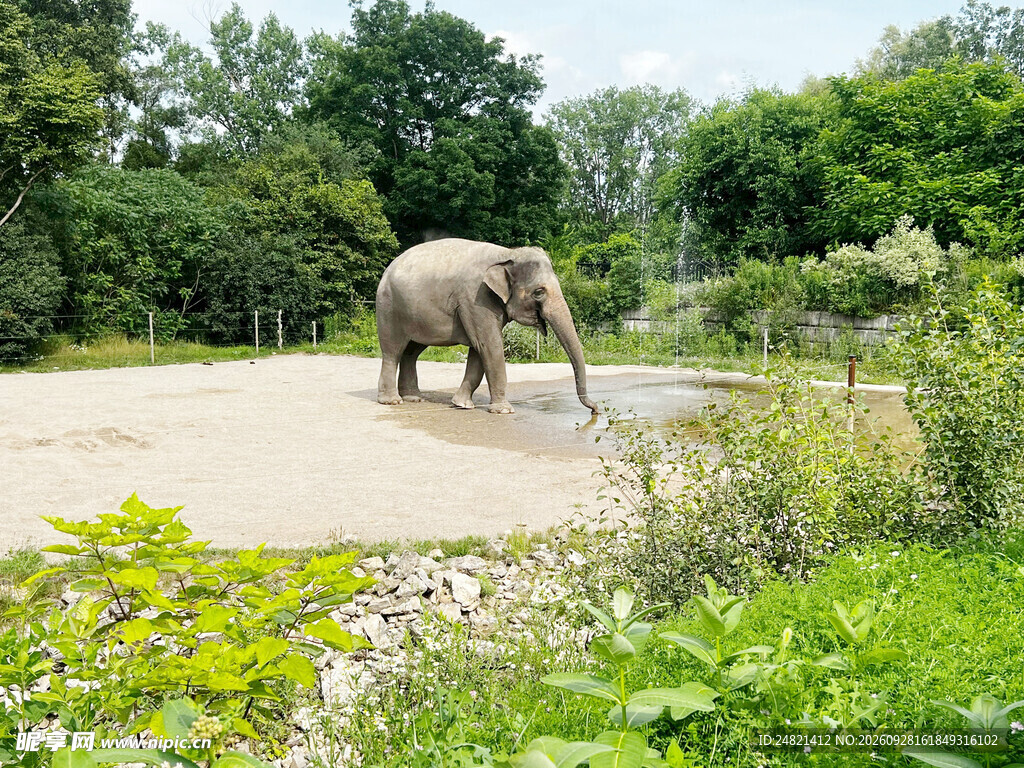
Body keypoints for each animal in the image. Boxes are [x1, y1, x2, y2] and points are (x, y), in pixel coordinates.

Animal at [375, 238, 599, 415]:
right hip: (389, 307)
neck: (508, 253)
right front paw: (504, 411)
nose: (596, 410)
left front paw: (462, 404)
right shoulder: (476, 298)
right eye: (538, 292)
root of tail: (387, 269)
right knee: (393, 351)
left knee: (411, 352)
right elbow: (489, 346)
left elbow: (479, 350)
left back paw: (413, 398)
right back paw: (392, 401)